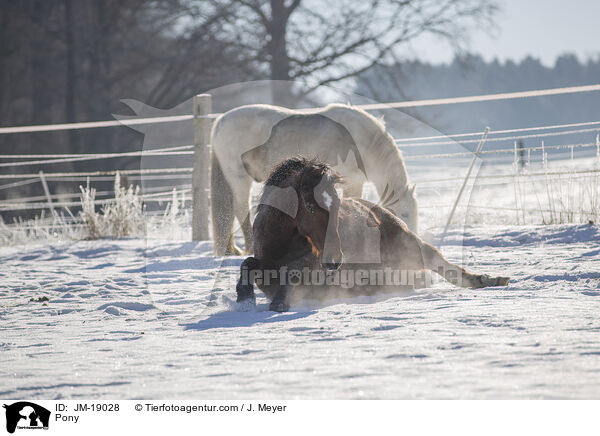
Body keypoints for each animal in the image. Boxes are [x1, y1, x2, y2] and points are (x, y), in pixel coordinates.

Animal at [211, 104, 418, 255]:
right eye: (405, 214)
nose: (410, 240)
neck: (363, 141)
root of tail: (220, 123)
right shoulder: (351, 182)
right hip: (240, 178)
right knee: (241, 209)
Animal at [237, 158, 508, 312]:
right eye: (310, 205)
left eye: (337, 205)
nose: (335, 261)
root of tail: (378, 210)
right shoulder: (265, 264)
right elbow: (248, 264)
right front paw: (244, 299)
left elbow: (292, 270)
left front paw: (278, 303)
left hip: (411, 246)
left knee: (442, 264)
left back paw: (487, 280)